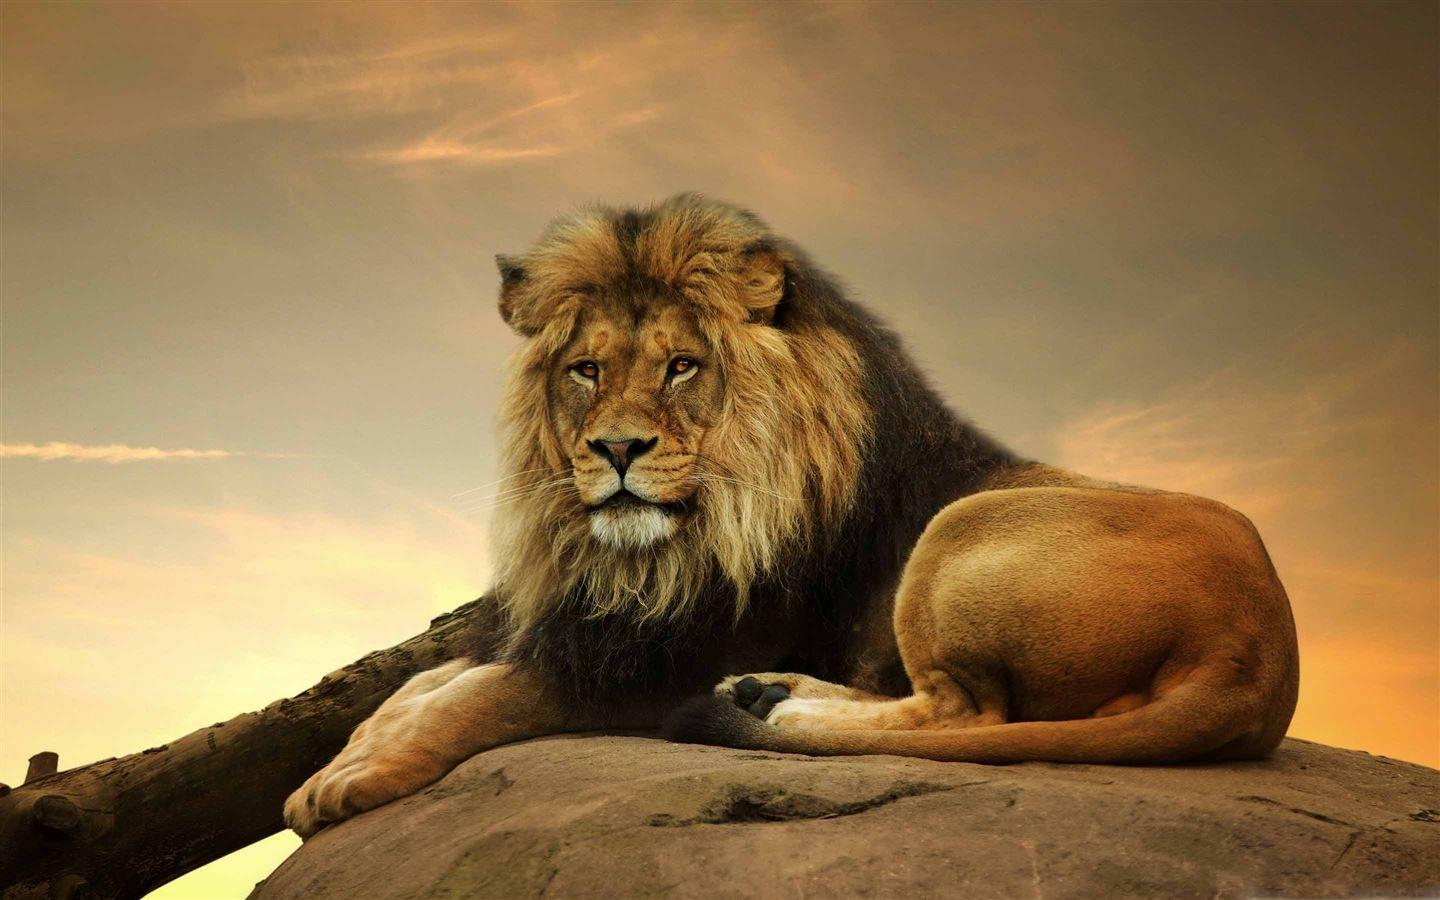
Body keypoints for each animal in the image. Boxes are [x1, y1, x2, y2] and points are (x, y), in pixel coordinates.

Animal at [283, 193, 1299, 838]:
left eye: (680, 367)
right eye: (586, 370)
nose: (616, 451)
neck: (652, 555)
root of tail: (1259, 654)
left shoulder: (657, 658)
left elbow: (482, 695)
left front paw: (354, 779)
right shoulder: (588, 623)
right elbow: (425, 683)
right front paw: (342, 759)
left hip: (959, 533)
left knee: (964, 712)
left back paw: (776, 707)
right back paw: (770, 696)